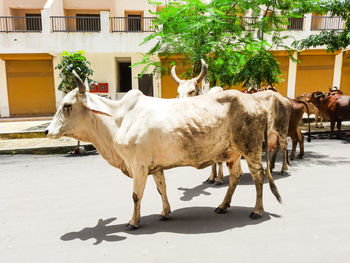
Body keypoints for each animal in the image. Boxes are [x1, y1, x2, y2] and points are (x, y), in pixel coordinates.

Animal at [45, 71, 282, 230]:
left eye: (67, 105)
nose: (47, 130)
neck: (118, 120)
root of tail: (255, 102)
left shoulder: (138, 166)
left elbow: (135, 195)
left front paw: (133, 222)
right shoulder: (154, 167)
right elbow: (162, 189)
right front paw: (165, 213)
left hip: (250, 150)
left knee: (258, 176)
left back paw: (256, 211)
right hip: (232, 153)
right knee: (235, 177)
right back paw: (223, 206)